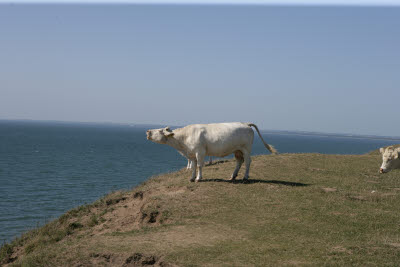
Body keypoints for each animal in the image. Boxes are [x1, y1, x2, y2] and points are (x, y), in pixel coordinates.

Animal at [147, 123, 278, 182]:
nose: (148, 131)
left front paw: (198, 178)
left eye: (160, 130)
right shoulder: (192, 154)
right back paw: (233, 176)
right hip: (237, 150)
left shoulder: (200, 152)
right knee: (239, 161)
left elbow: (199, 166)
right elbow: (193, 166)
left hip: (246, 148)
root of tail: (245, 123)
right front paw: (192, 177)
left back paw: (245, 176)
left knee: (248, 162)